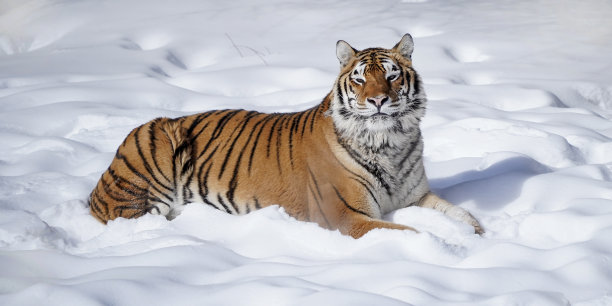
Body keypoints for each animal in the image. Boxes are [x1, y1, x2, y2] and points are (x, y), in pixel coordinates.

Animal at [89, 34, 482, 238]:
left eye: (392, 75)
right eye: (359, 78)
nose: (378, 100)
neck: (389, 143)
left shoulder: (415, 197)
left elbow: (462, 215)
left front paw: (474, 233)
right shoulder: (346, 214)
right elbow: (410, 232)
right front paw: (447, 245)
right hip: (150, 163)